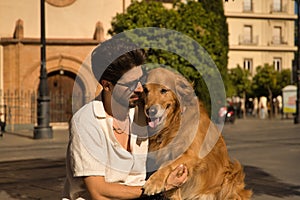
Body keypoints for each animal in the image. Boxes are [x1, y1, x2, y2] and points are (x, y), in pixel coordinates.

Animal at [142, 68, 252, 199]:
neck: (175, 122)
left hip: (232, 174)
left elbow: (168, 163)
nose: (150, 111)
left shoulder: (193, 155)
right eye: (146, 90)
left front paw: (154, 182)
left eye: (163, 90)